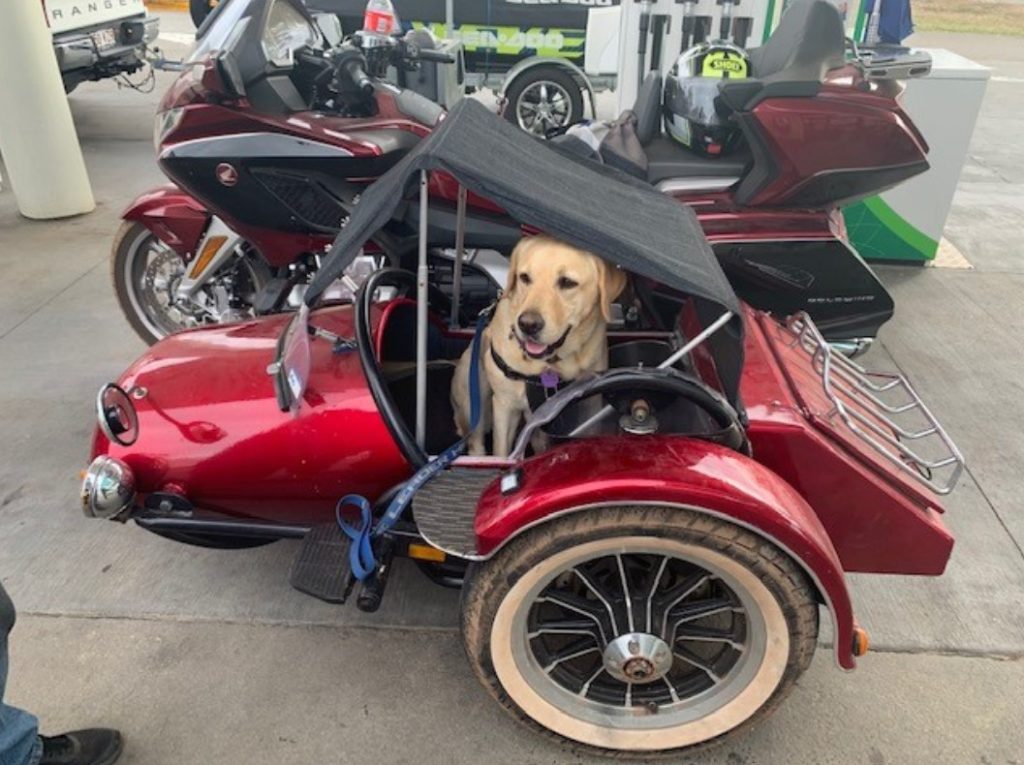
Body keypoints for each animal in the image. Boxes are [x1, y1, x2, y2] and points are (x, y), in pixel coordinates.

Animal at [454, 236, 626, 458]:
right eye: (525, 277)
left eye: (567, 282)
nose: (527, 324)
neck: (548, 367)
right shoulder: (505, 405)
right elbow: (501, 450)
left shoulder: (590, 404)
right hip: (473, 392)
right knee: (476, 441)